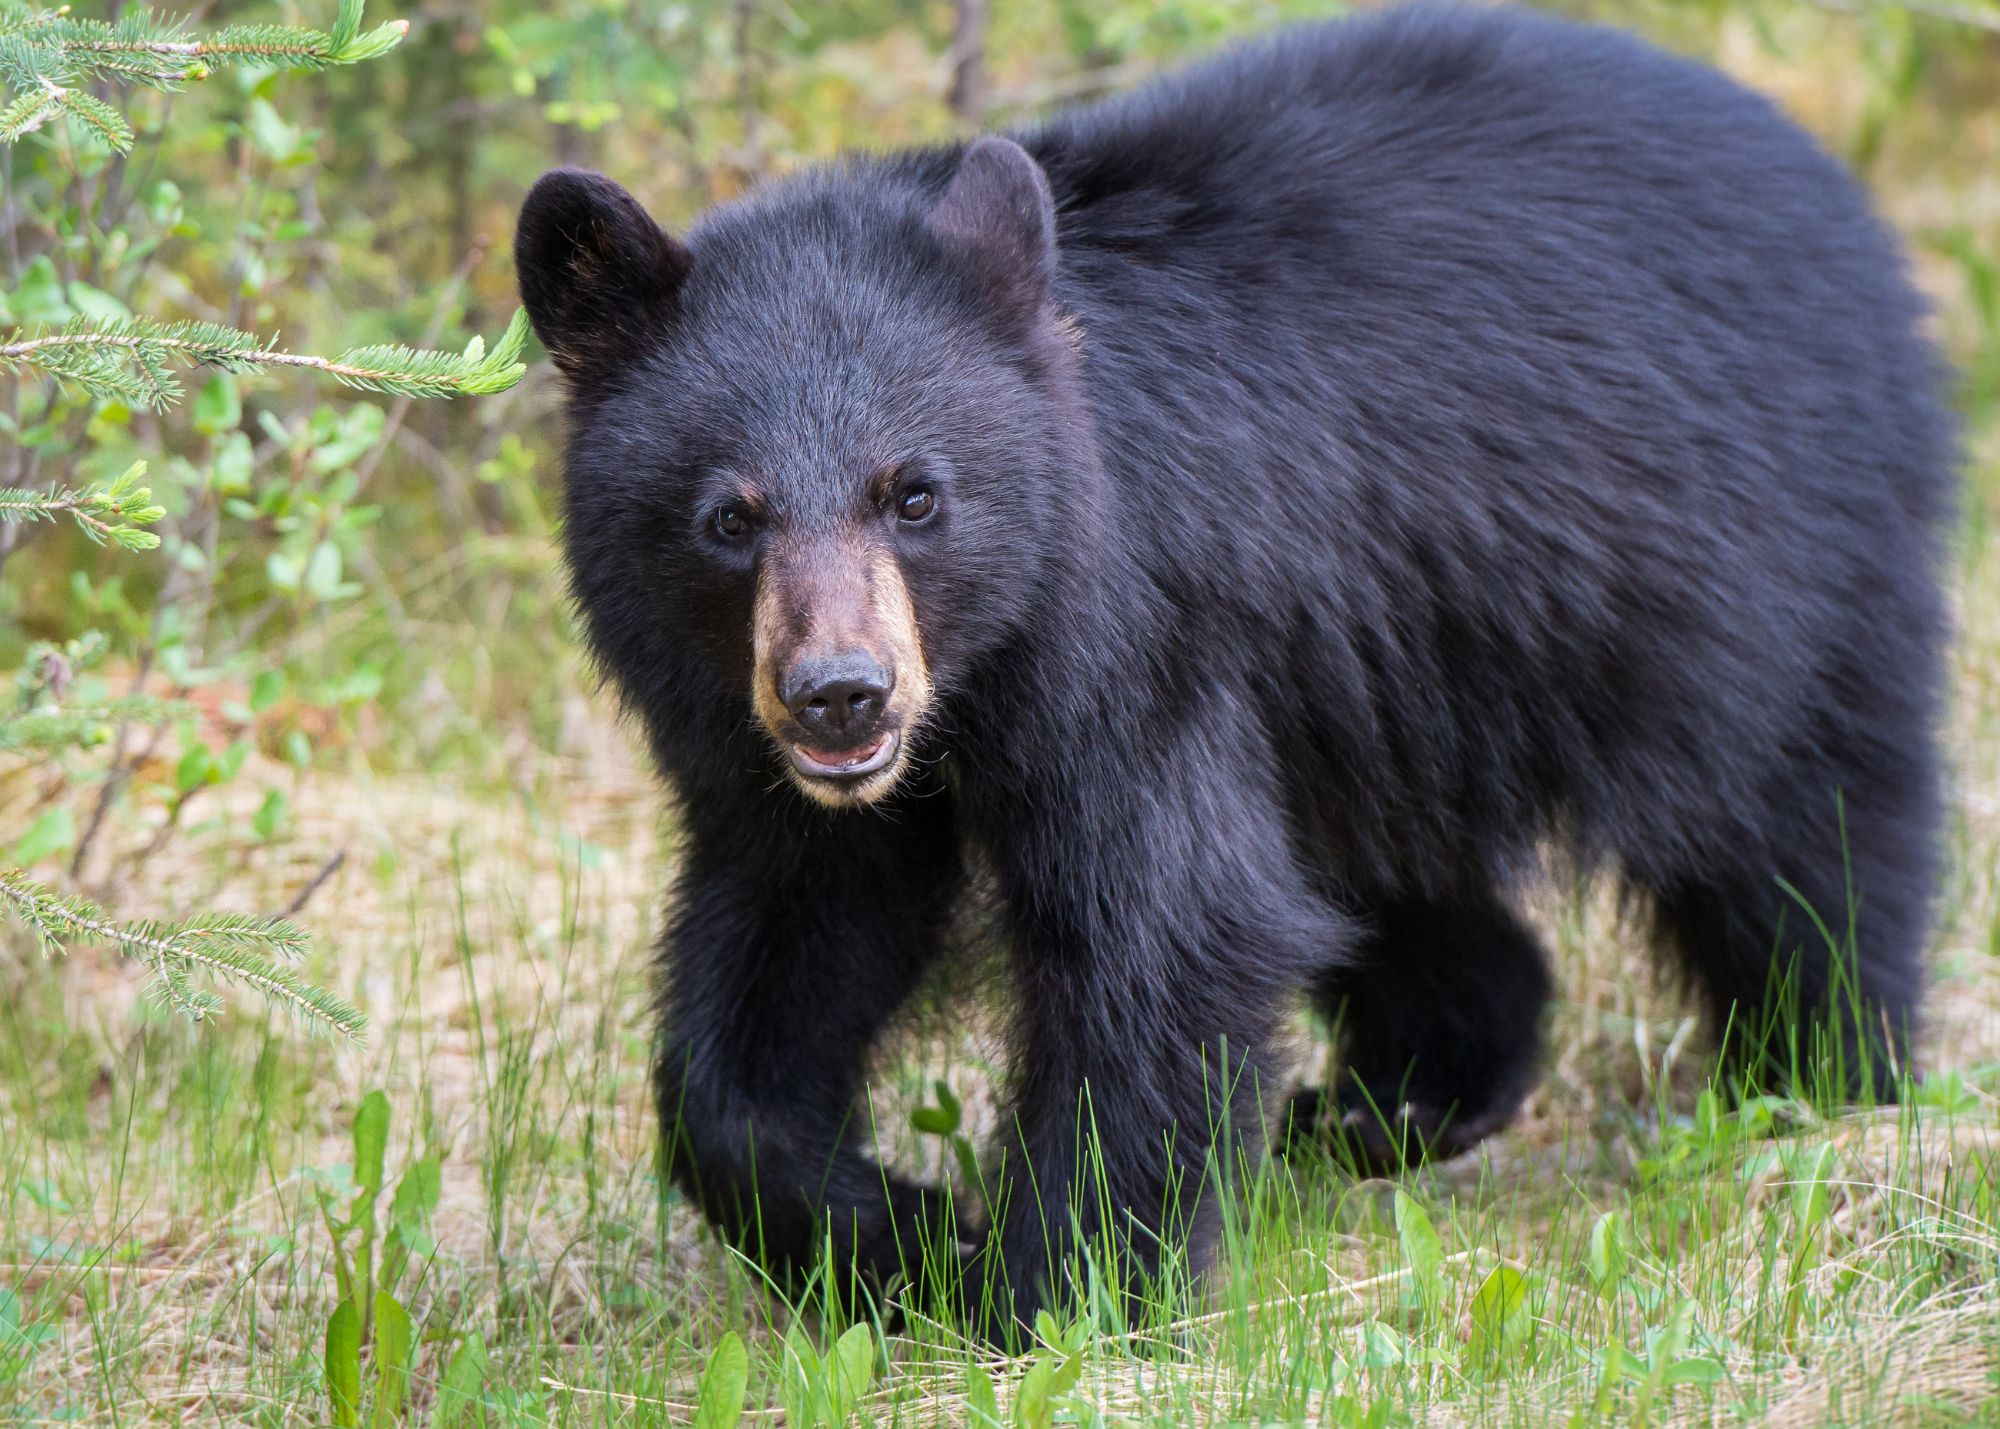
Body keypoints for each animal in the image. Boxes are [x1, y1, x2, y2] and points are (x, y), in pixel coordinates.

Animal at [514, 5, 1954, 1336]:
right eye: (729, 516)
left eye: (915, 494)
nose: (841, 694)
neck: (977, 682)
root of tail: (1839, 195)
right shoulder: (766, 755)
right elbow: (786, 948)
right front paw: (890, 1234)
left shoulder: (1139, 640)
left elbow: (1168, 933)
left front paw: (1053, 1287)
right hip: (1382, 672)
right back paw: (1400, 1098)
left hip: (1761, 568)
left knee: (1807, 826)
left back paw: (1815, 1071)